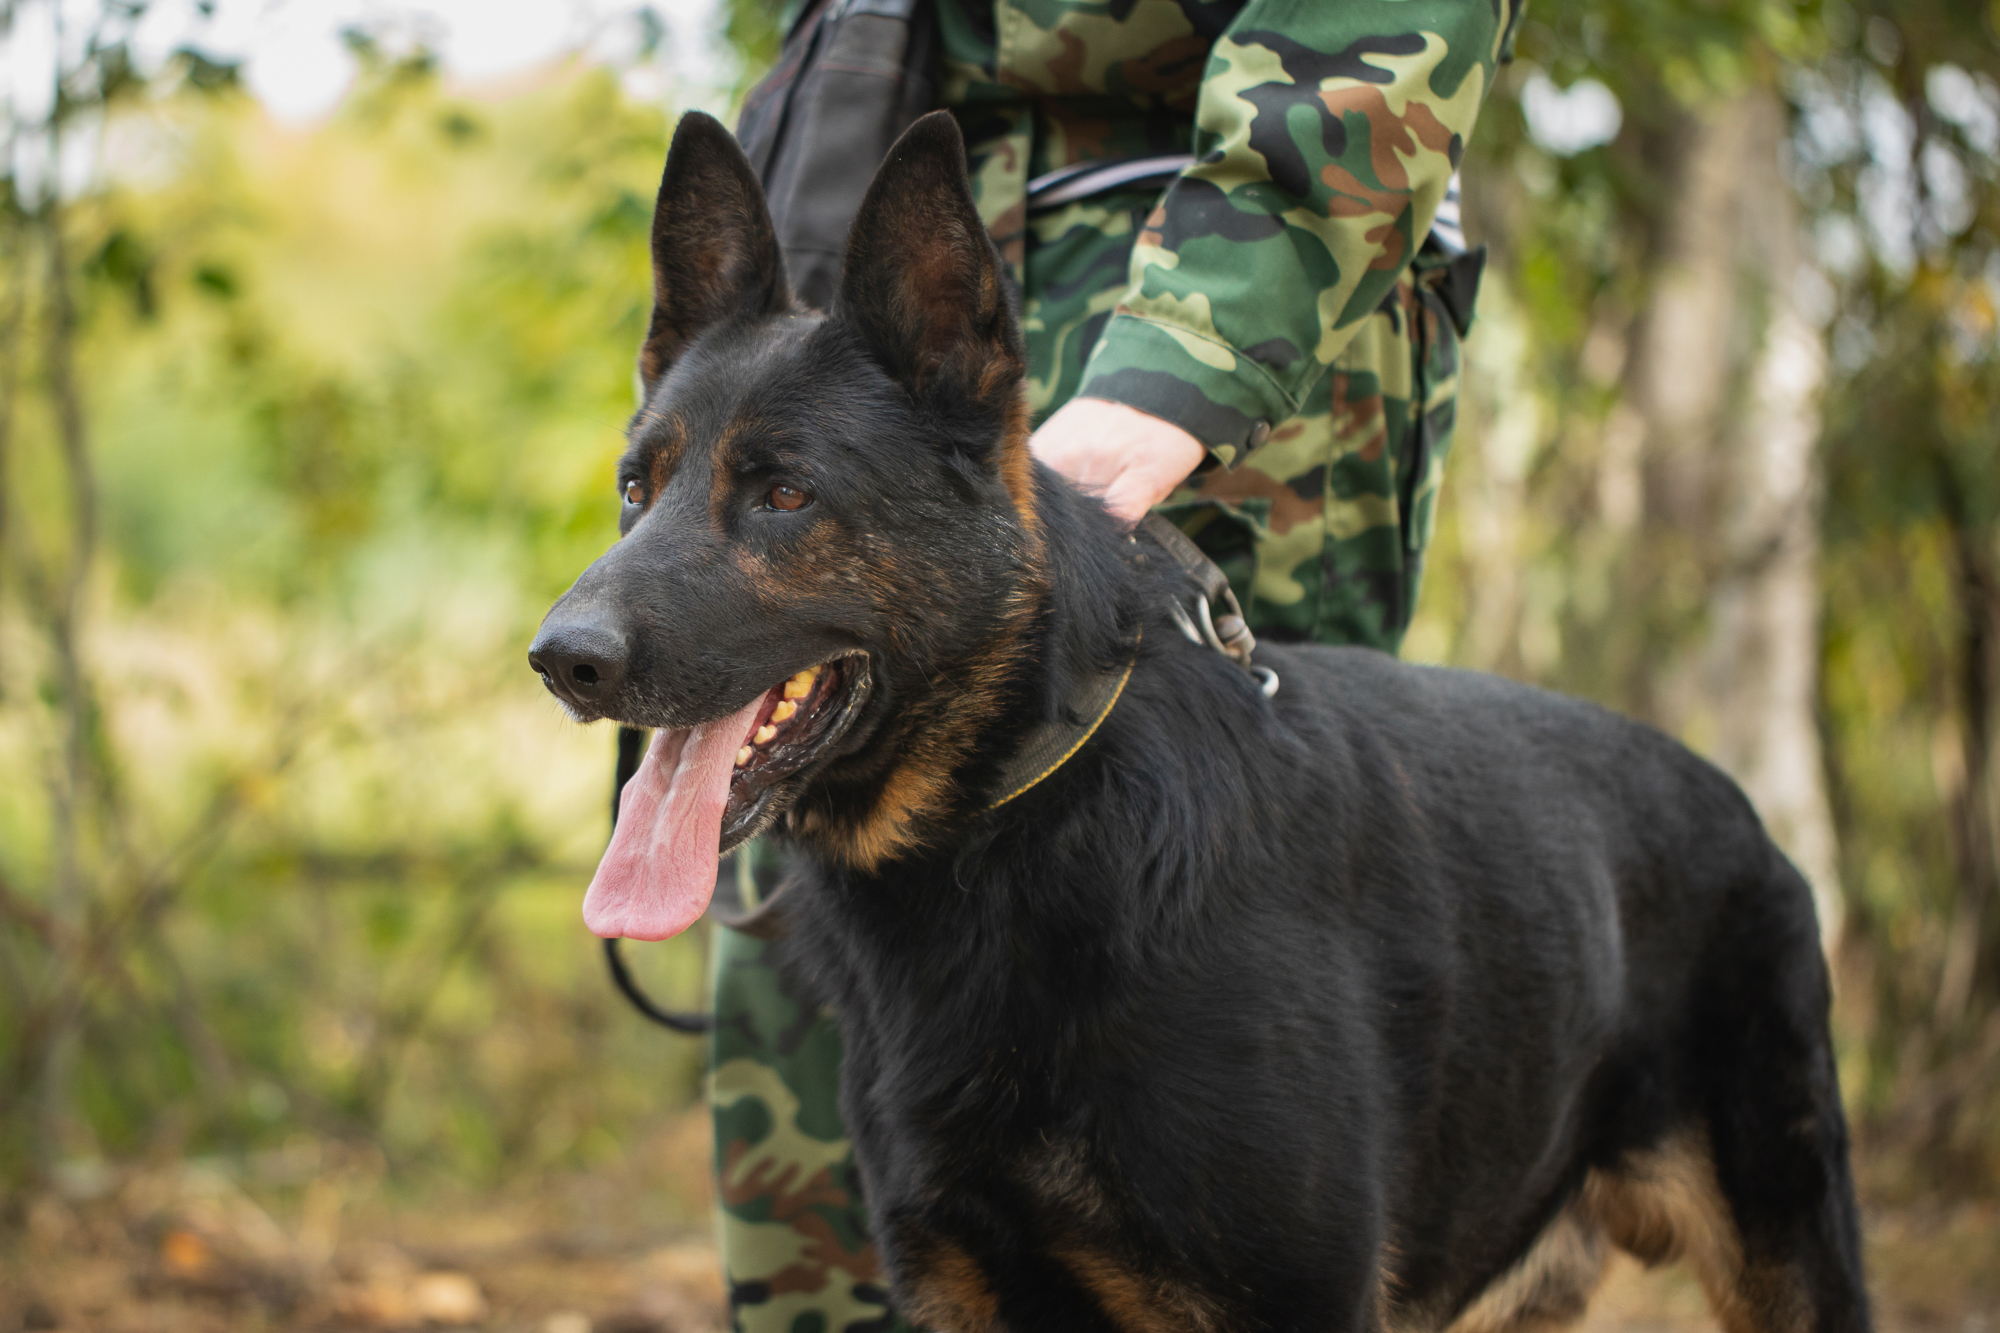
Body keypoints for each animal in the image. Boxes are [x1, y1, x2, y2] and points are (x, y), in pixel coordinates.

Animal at [532, 114, 1872, 1328]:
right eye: (637, 488)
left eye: (783, 494)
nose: (561, 661)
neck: (1018, 816)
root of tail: (1742, 810)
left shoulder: (1295, 1301)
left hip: (1789, 1244)